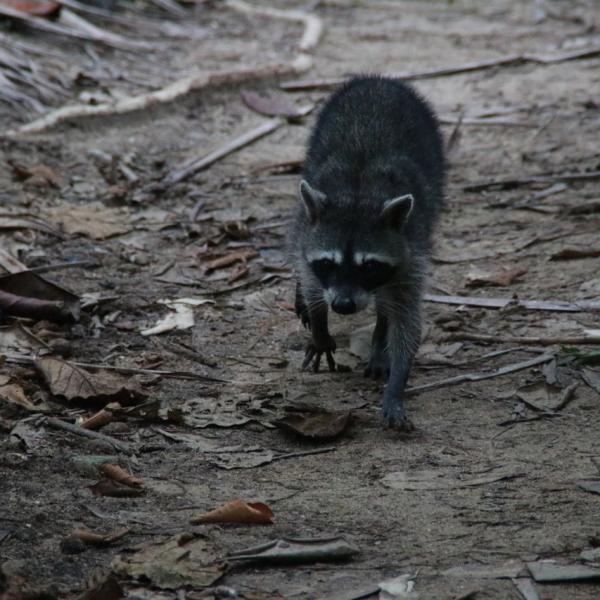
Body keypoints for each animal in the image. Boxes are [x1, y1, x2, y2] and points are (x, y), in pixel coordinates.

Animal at [288, 76, 448, 432]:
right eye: (328, 263)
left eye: (370, 266)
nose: (344, 306)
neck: (358, 197)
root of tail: (379, 79)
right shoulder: (309, 235)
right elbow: (311, 282)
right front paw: (319, 327)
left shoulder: (409, 253)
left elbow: (406, 320)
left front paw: (396, 385)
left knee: (388, 305)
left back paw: (378, 342)